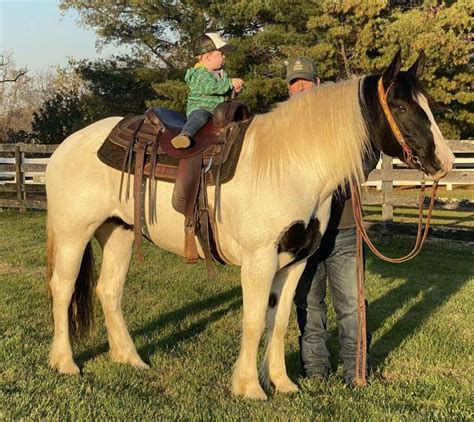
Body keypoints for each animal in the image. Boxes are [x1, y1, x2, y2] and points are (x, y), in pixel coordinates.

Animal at [46, 51, 454, 400]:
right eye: (400, 106)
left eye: (427, 104)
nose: (445, 162)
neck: (291, 165)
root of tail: (66, 146)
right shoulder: (259, 261)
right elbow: (255, 321)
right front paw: (249, 388)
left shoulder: (294, 263)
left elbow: (279, 323)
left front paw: (282, 383)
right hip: (74, 234)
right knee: (62, 289)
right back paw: (64, 363)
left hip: (119, 232)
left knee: (109, 291)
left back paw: (130, 358)